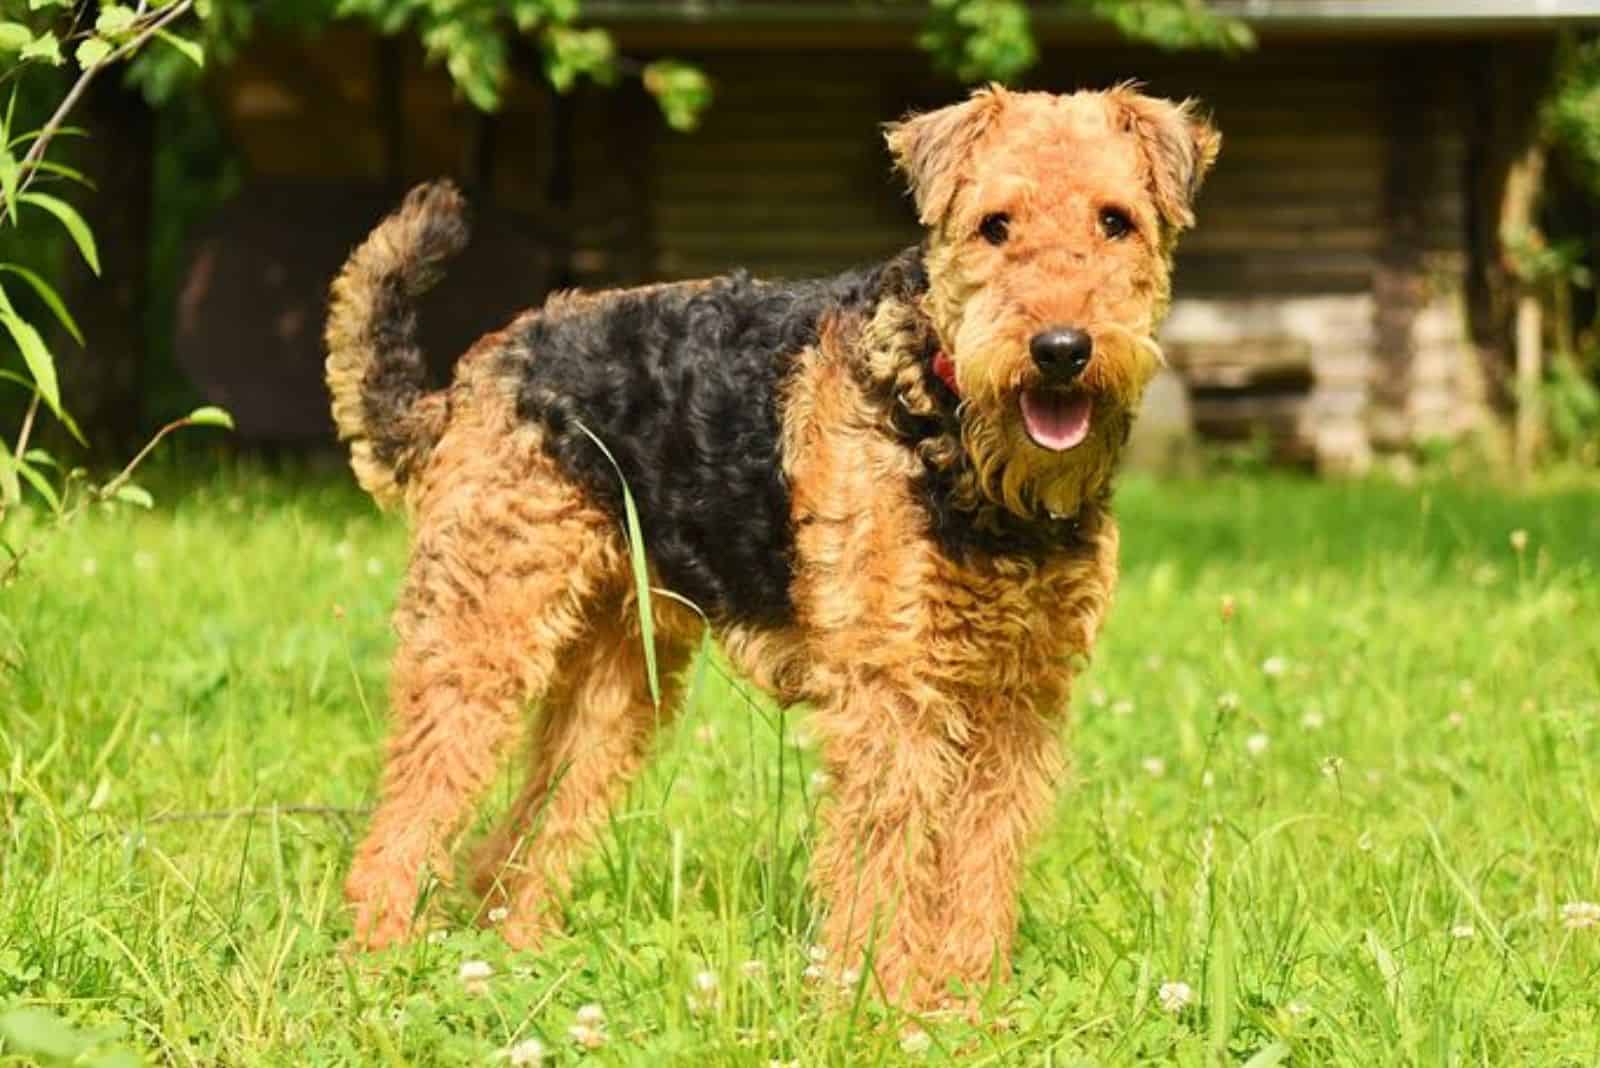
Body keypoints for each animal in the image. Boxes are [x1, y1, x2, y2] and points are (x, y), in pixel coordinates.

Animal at [331, 85, 1216, 1010]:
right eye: (994, 225)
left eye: (1116, 220)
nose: (1060, 351)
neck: (960, 441)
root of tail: (471, 378)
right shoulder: (892, 692)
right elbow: (888, 858)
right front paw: (884, 1004)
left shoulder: (1019, 693)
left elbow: (980, 859)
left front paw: (969, 1004)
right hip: (482, 632)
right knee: (405, 821)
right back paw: (382, 964)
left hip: (617, 678)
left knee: (522, 839)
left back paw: (517, 959)